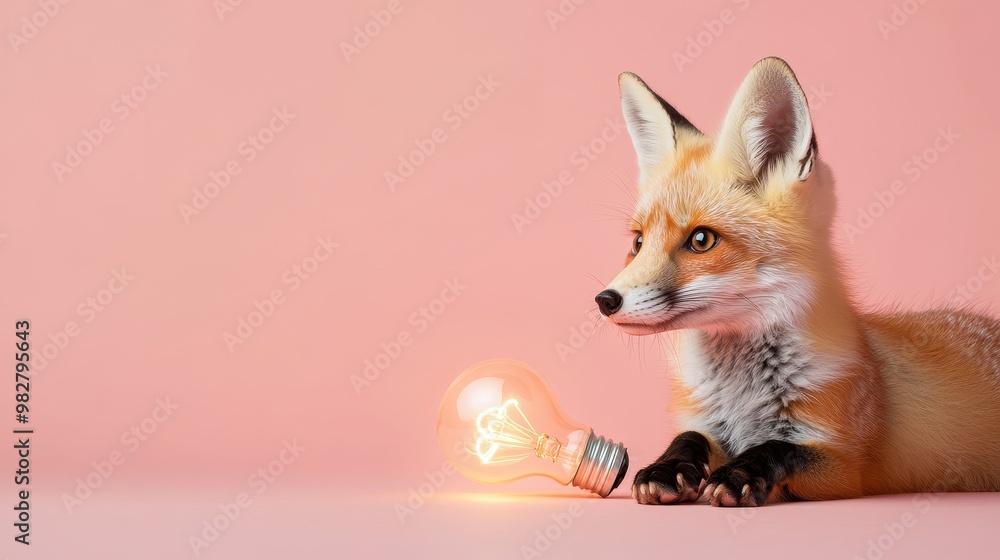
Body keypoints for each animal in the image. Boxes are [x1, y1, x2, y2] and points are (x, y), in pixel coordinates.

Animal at [595, 57, 1000, 506]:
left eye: (701, 240)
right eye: (638, 242)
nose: (605, 300)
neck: (741, 397)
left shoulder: (843, 468)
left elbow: (777, 448)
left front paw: (738, 475)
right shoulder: (708, 423)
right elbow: (688, 437)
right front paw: (665, 467)